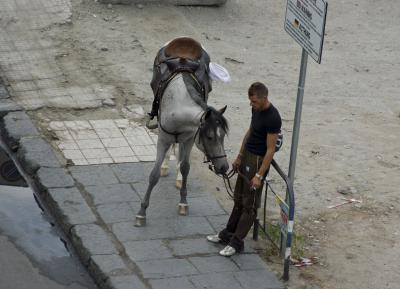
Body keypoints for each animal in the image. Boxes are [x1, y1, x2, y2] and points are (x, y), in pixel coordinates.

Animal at [134, 71, 228, 225]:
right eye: (209, 137)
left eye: (223, 135)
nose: (224, 167)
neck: (178, 108)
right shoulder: (162, 140)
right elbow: (154, 175)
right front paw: (141, 213)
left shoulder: (190, 139)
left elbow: (185, 168)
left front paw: (183, 202)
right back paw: (165, 166)